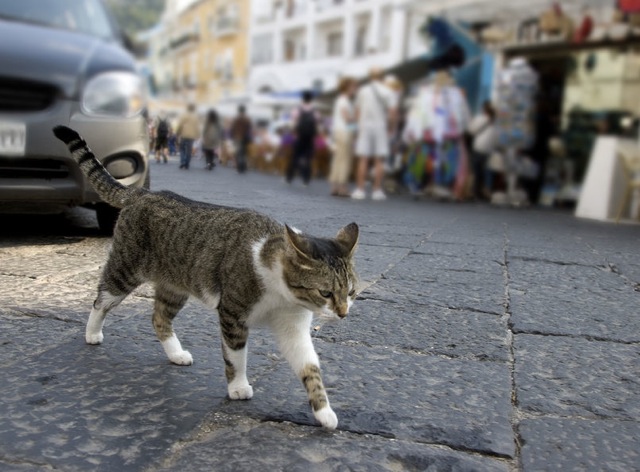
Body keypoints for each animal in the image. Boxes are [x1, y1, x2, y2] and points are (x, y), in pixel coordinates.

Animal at [53, 124, 360, 428]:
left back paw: (176, 354)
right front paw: (238, 387)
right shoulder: (233, 315)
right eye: (325, 293)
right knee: (101, 299)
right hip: (125, 269)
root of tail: (143, 193)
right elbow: (236, 357)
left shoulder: (292, 327)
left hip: (174, 287)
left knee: (159, 318)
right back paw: (92, 333)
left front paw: (324, 411)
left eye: (351, 292)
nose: (343, 314)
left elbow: (310, 367)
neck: (282, 295)